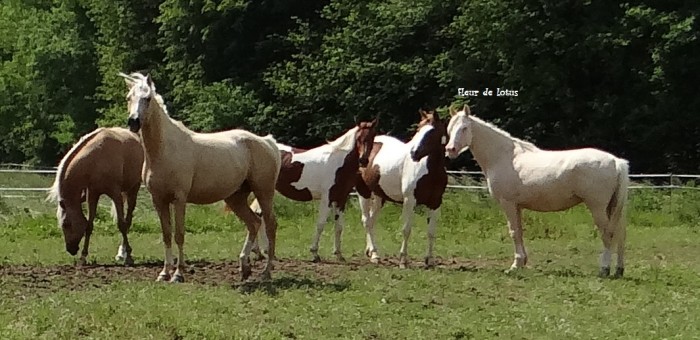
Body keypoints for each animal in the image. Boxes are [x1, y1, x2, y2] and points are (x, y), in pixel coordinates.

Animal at [46, 127, 144, 266]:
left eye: (66, 224)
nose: (70, 249)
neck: (96, 160)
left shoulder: (115, 194)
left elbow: (121, 224)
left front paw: (129, 257)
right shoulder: (92, 194)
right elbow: (89, 225)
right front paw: (83, 257)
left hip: (133, 189)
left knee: (128, 220)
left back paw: (124, 253)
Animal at [119, 71, 280, 282]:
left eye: (147, 98)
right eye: (129, 98)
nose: (134, 122)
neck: (163, 149)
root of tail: (267, 142)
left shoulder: (179, 199)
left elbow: (179, 234)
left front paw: (178, 274)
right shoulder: (159, 200)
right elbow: (166, 235)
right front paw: (164, 273)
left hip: (264, 193)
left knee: (270, 226)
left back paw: (266, 272)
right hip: (236, 197)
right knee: (253, 223)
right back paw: (244, 268)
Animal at [246, 118, 378, 262]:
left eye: (372, 137)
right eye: (358, 138)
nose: (363, 160)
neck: (338, 163)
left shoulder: (341, 199)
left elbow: (339, 226)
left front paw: (339, 254)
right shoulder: (327, 198)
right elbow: (320, 224)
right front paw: (315, 253)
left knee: (258, 214)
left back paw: (261, 252)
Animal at [358, 110, 452, 266]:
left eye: (432, 132)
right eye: (419, 129)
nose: (414, 153)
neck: (430, 171)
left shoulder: (436, 203)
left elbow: (431, 232)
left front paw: (429, 260)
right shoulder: (409, 200)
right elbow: (406, 229)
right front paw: (403, 259)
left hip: (379, 196)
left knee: (371, 220)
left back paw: (370, 251)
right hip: (363, 192)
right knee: (366, 220)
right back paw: (375, 255)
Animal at [446, 105, 632, 278]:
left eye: (464, 128)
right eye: (449, 128)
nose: (450, 150)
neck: (504, 156)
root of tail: (616, 161)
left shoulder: (508, 204)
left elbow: (513, 232)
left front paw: (515, 265)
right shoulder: (517, 206)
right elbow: (519, 232)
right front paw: (522, 262)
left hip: (597, 207)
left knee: (608, 234)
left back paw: (604, 269)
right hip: (614, 207)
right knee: (620, 234)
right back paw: (619, 270)